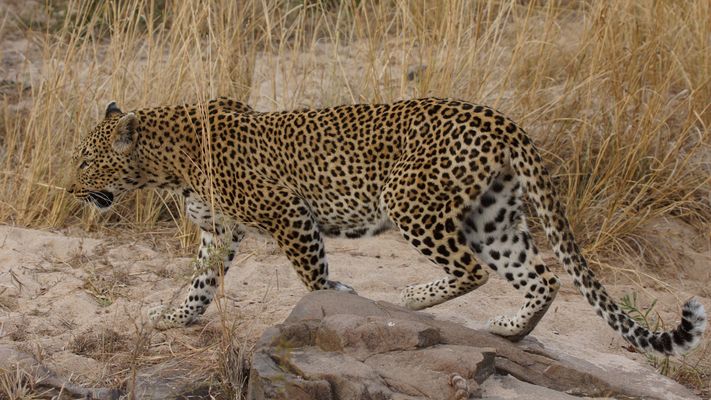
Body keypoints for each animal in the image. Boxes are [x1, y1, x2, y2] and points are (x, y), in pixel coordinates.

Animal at [68, 96, 706, 356]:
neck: (165, 166)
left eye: (85, 162)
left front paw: (336, 300)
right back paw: (508, 330)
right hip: (494, 214)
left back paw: (414, 298)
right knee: (541, 276)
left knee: (472, 269)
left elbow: (312, 275)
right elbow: (201, 283)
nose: (72, 191)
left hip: (410, 200)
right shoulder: (219, 231)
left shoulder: (288, 214)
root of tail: (501, 119)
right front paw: (174, 318)